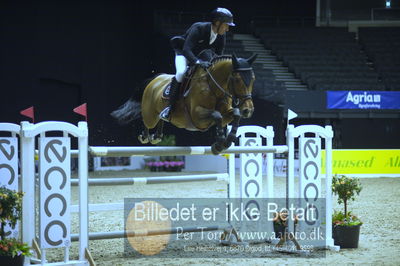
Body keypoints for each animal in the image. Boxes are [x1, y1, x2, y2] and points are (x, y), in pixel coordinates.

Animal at [111, 52, 258, 154]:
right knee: (147, 121)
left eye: (253, 79)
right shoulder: (197, 117)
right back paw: (145, 136)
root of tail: (155, 79)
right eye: (237, 79)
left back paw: (157, 135)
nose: (248, 110)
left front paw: (226, 140)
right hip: (150, 114)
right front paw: (220, 144)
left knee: (160, 119)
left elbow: (235, 113)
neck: (214, 87)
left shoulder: (226, 112)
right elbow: (217, 115)